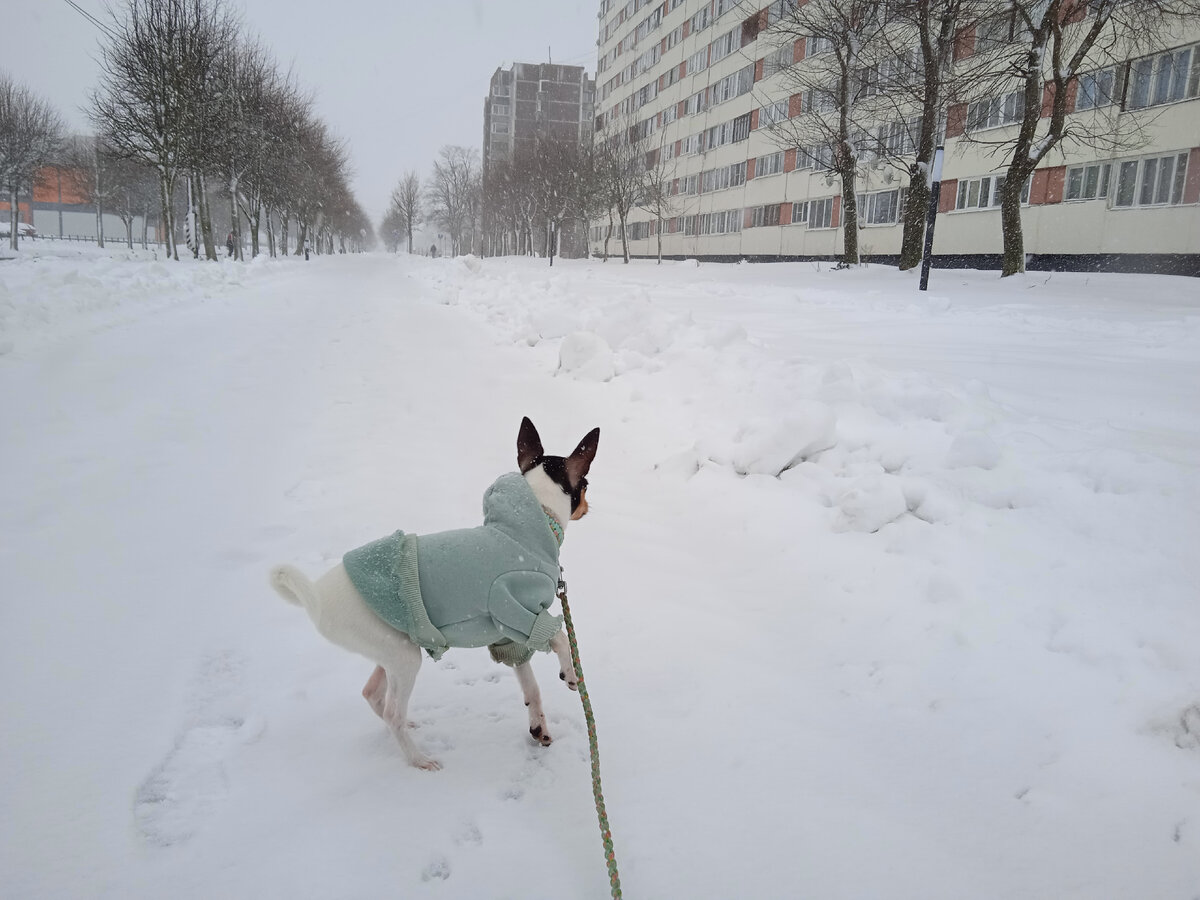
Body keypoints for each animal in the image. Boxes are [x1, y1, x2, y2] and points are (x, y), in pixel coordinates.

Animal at [267, 420, 595, 772]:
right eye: (586, 484)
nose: (589, 507)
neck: (531, 523)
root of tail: (316, 595)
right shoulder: (513, 609)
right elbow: (559, 636)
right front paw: (571, 674)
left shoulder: (509, 636)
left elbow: (531, 686)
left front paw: (539, 727)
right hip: (403, 655)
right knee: (392, 712)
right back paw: (417, 759)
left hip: (391, 649)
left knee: (373, 694)